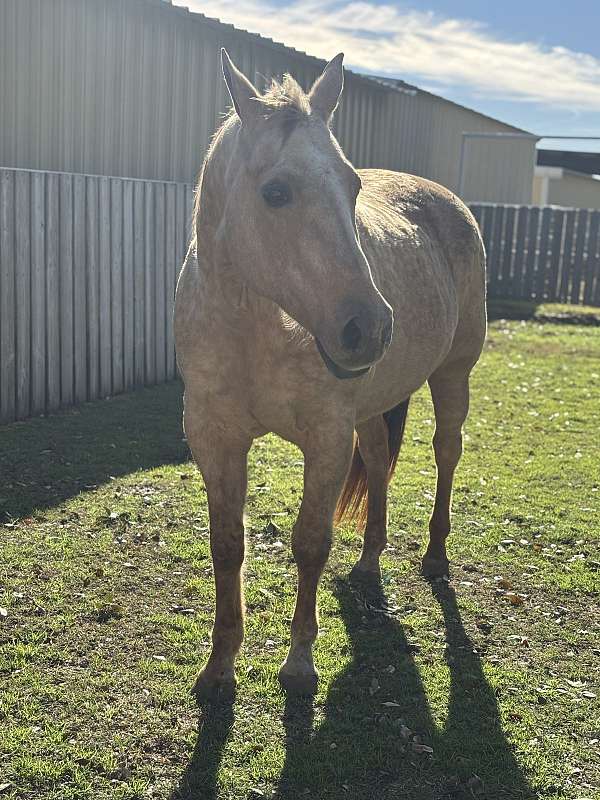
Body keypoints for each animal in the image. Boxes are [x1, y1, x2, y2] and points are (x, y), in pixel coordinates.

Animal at [175, 50, 488, 696]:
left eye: (352, 185)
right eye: (275, 191)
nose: (370, 328)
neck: (256, 328)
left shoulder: (325, 439)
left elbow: (310, 542)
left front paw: (299, 662)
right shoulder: (215, 438)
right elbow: (227, 545)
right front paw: (219, 666)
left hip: (454, 375)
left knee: (447, 452)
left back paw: (435, 556)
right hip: (371, 408)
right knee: (379, 458)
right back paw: (370, 562)